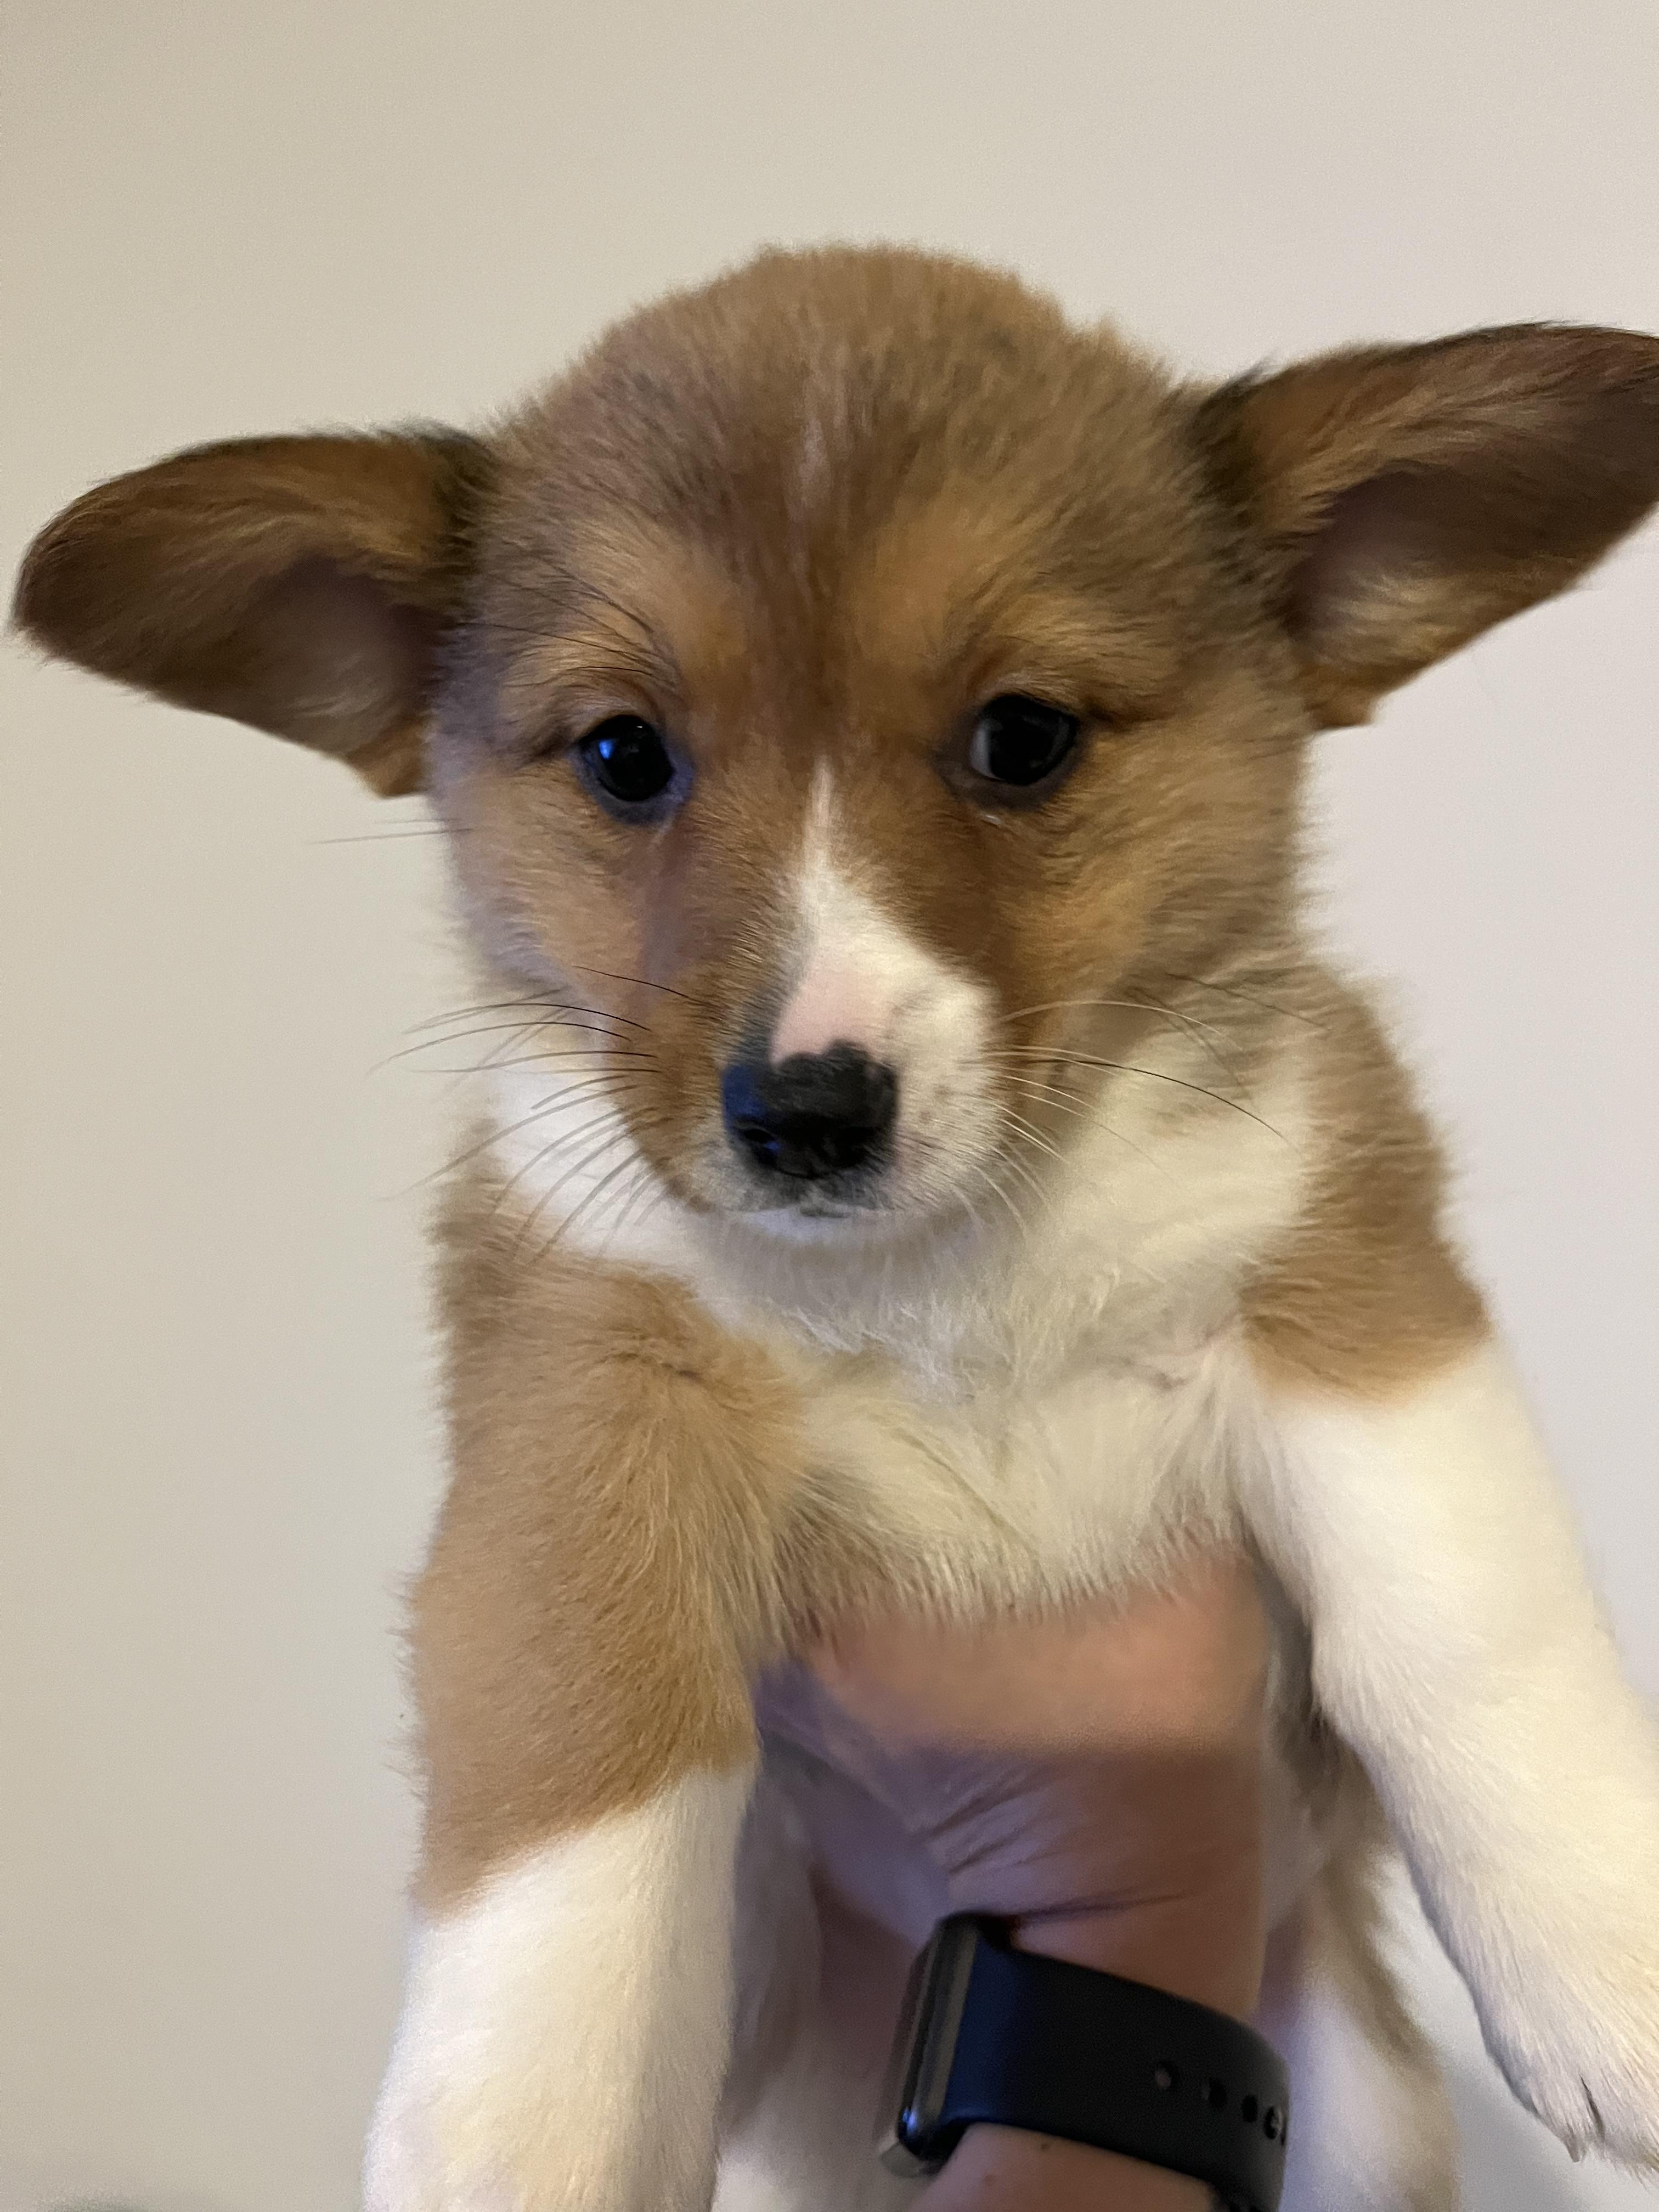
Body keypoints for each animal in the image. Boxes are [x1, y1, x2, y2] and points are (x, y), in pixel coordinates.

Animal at [15, 246, 1659, 2211]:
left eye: (1022, 739)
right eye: (623, 756)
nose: (803, 1115)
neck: (940, 1274)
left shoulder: (1349, 1286)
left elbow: (1469, 1625)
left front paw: (1600, 1949)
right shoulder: (581, 1408)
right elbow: (572, 1758)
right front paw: (520, 2126)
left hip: (1364, 2129)